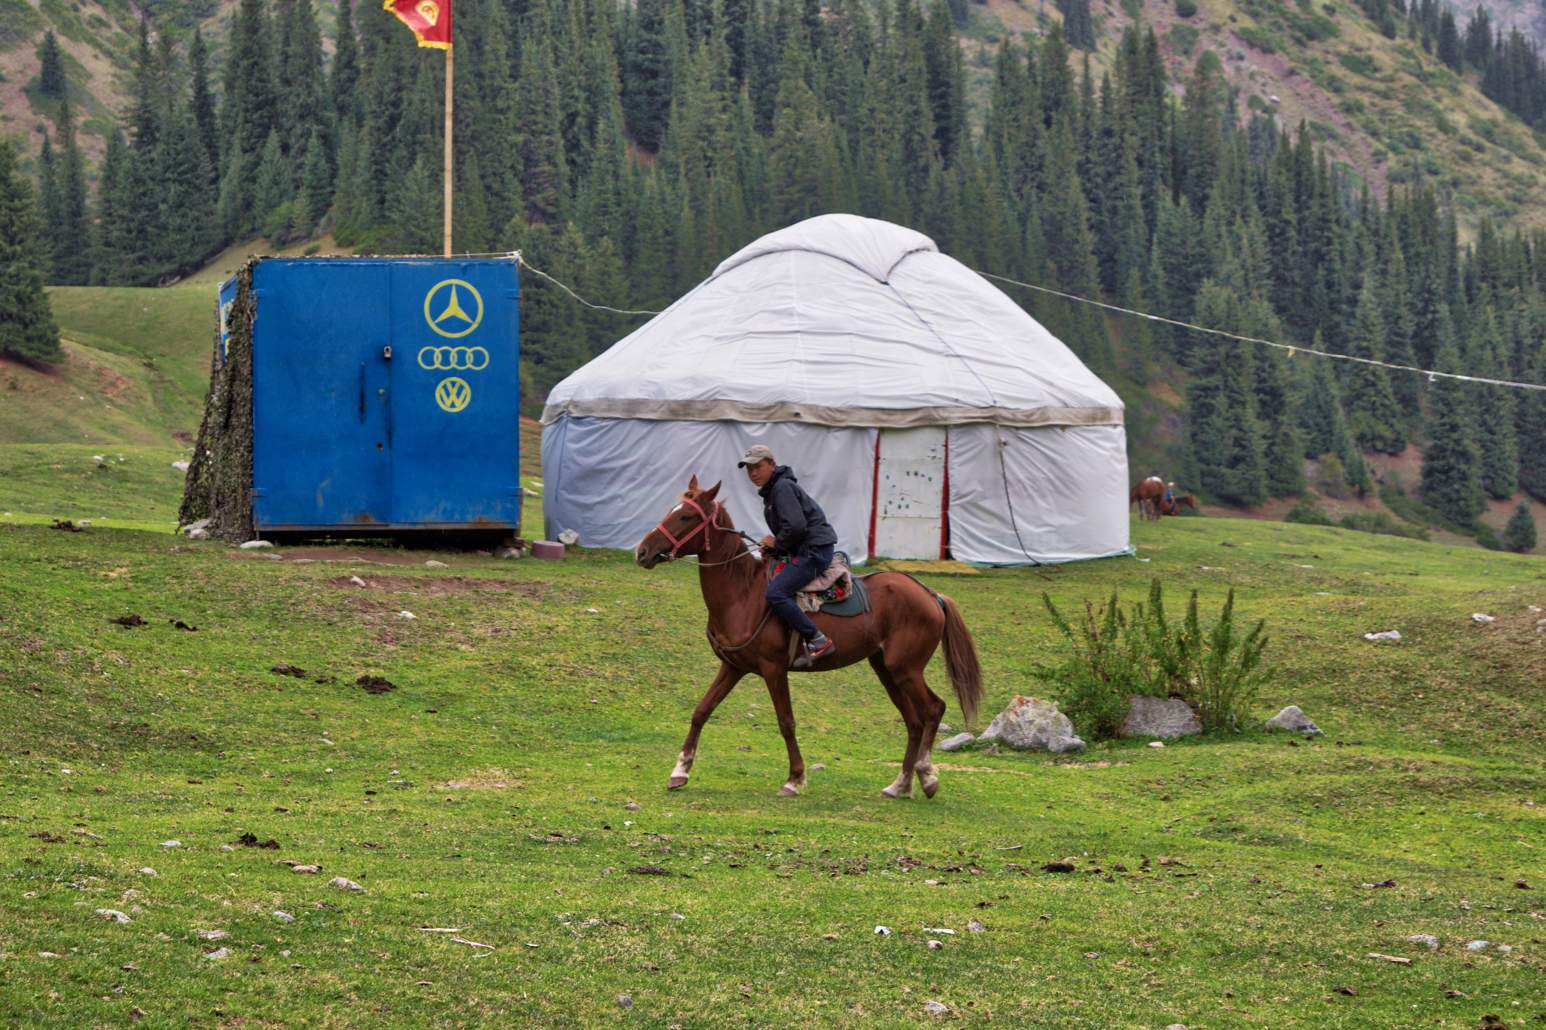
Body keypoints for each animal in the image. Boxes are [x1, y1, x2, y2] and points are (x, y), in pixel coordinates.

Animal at [633, 476, 983, 798]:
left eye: (686, 517)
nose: (643, 551)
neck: (742, 593)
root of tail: (931, 595)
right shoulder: (732, 667)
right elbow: (701, 711)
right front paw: (679, 772)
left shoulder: (774, 669)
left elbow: (786, 722)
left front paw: (795, 778)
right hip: (887, 670)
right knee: (914, 721)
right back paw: (900, 784)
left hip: (906, 669)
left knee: (933, 710)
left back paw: (927, 775)